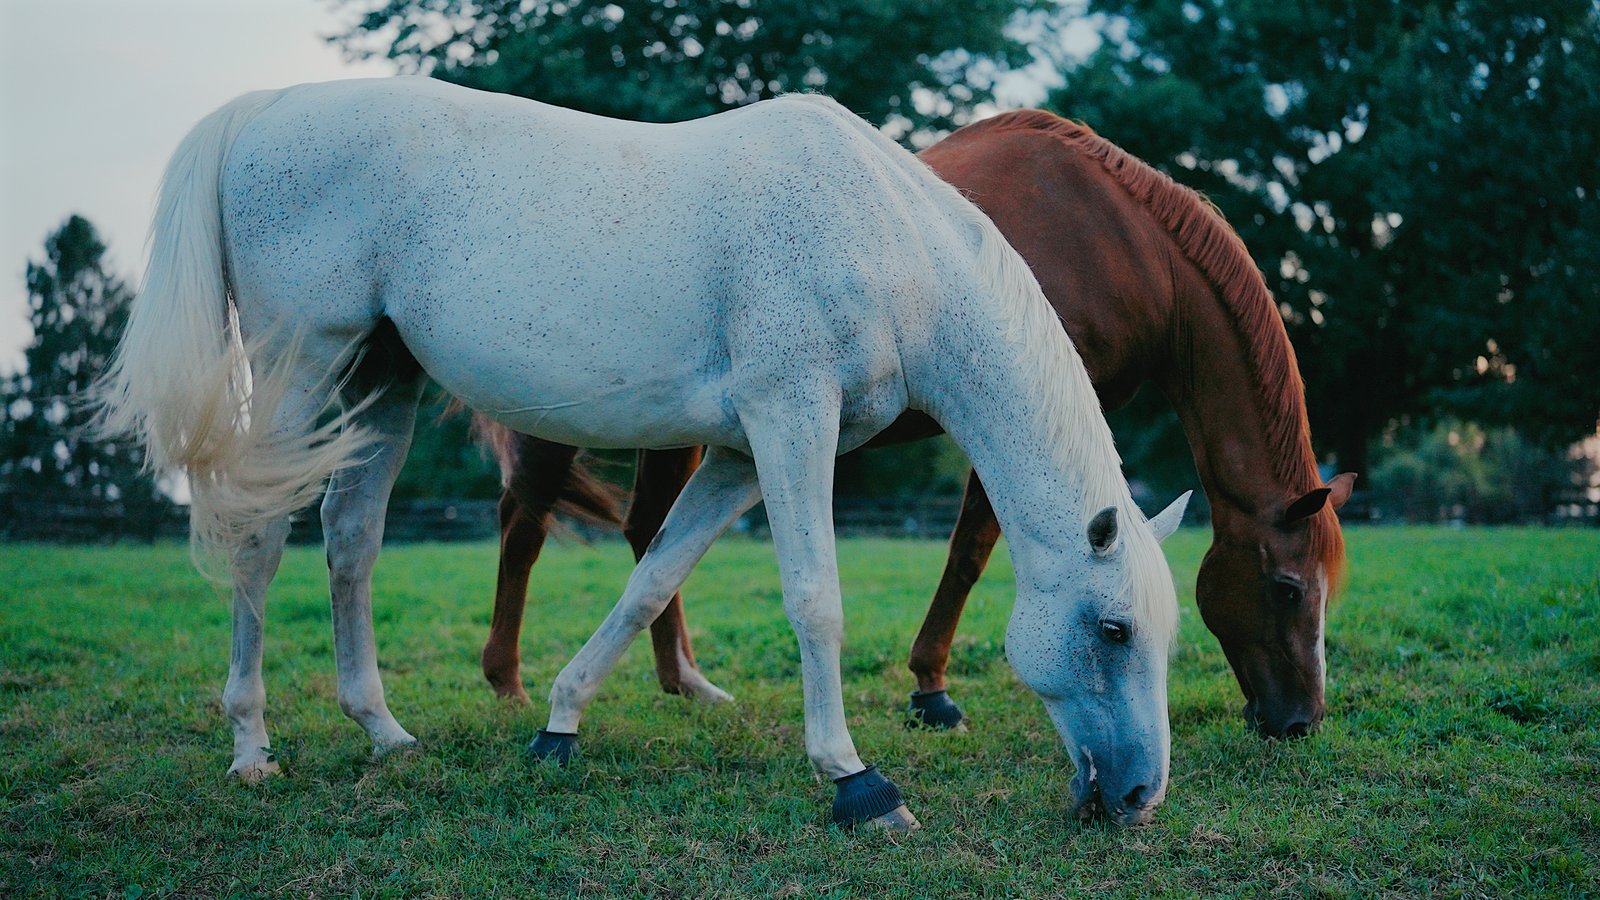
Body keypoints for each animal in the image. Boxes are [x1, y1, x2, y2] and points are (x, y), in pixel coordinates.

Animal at [96, 78, 1190, 829]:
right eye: (1115, 630)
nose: (1141, 796)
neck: (886, 240)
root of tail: (264, 108)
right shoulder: (792, 424)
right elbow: (814, 600)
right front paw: (855, 781)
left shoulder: (740, 456)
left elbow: (651, 580)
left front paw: (558, 726)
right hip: (303, 366)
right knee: (258, 537)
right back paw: (251, 745)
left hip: (381, 379)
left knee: (350, 539)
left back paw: (383, 732)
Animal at [475, 109, 1355, 739]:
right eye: (1285, 588)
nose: (1299, 721)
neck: (1115, 240)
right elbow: (970, 552)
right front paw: (931, 689)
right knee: (525, 524)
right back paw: (508, 681)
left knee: (645, 529)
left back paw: (680, 680)